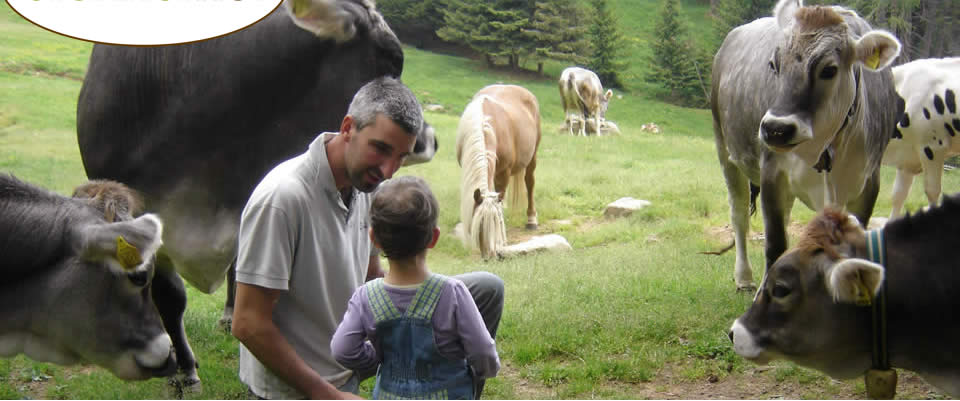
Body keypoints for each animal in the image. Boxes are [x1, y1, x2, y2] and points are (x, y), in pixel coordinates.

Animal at [456, 85, 540, 260]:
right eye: (480, 224)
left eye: (497, 224)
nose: (490, 255)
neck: (484, 123)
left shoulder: (504, 173)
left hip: (533, 156)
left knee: (529, 183)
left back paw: (531, 219)